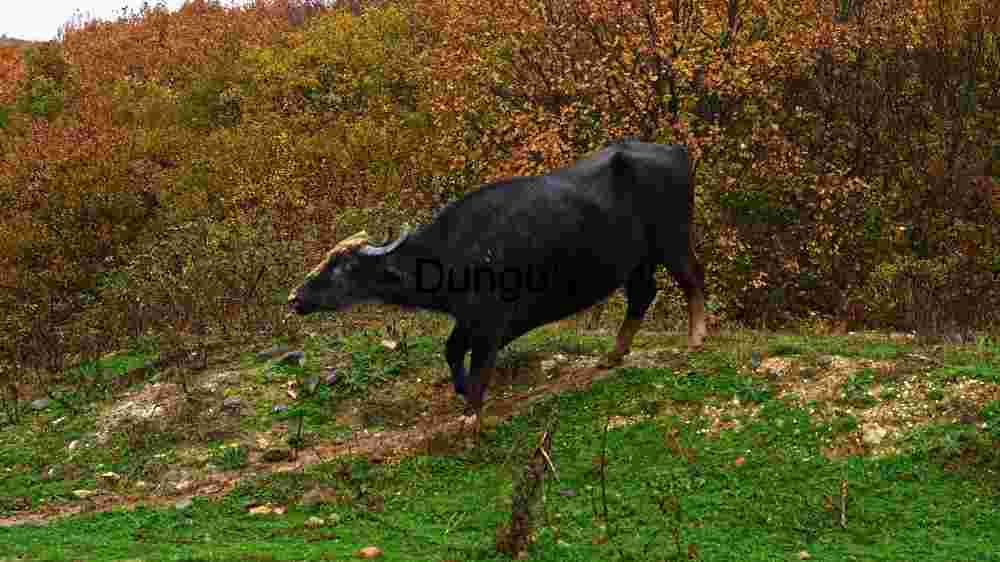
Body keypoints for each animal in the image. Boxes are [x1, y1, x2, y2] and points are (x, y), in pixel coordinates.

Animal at [287, 139, 707, 416]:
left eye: (342, 266)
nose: (295, 298)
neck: (452, 253)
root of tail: (677, 152)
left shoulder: (490, 321)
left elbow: (480, 365)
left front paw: (471, 411)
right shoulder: (468, 318)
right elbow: (452, 350)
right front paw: (460, 389)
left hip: (673, 240)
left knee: (692, 278)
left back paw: (696, 337)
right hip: (639, 261)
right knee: (643, 294)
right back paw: (613, 355)